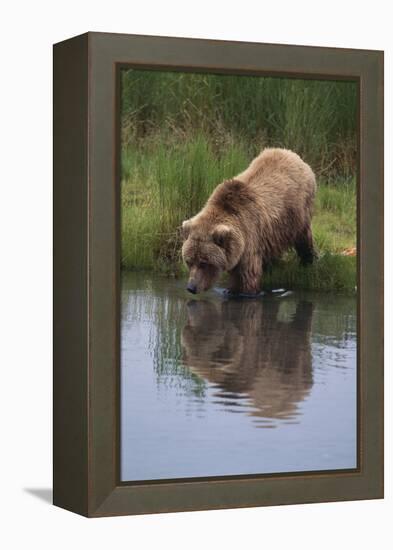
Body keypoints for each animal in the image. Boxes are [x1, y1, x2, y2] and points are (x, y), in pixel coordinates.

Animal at [181, 147, 316, 294]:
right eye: (189, 261)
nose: (191, 288)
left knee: (303, 237)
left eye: (204, 262)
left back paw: (308, 262)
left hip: (298, 210)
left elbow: (246, 278)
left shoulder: (249, 238)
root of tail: (290, 153)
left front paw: (239, 291)